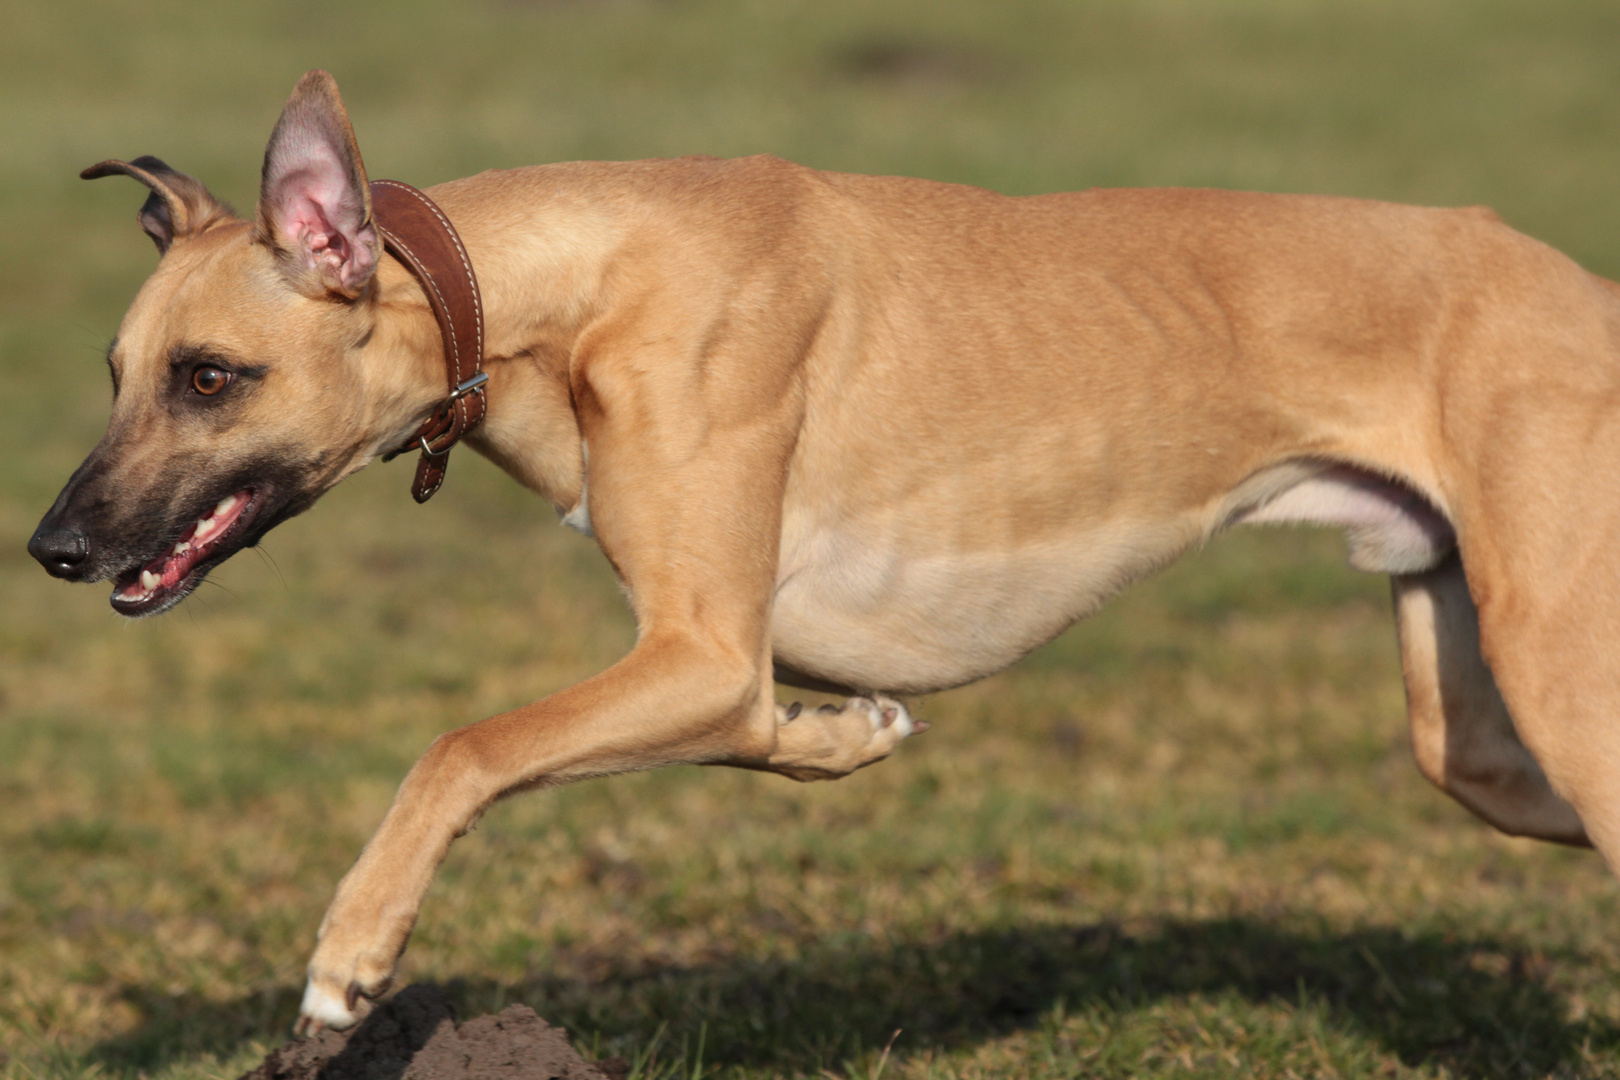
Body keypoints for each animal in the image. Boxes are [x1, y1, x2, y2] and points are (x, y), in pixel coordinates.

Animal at [28, 71, 1620, 1036]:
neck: (562, 282)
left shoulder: (698, 648)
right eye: (115, 373)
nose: (54, 547)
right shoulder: (711, 661)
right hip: (1474, 715)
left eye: (211, 377)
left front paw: (350, 965)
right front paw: (841, 737)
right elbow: (762, 728)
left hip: (1557, 670)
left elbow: (463, 748)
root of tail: (1580, 288)